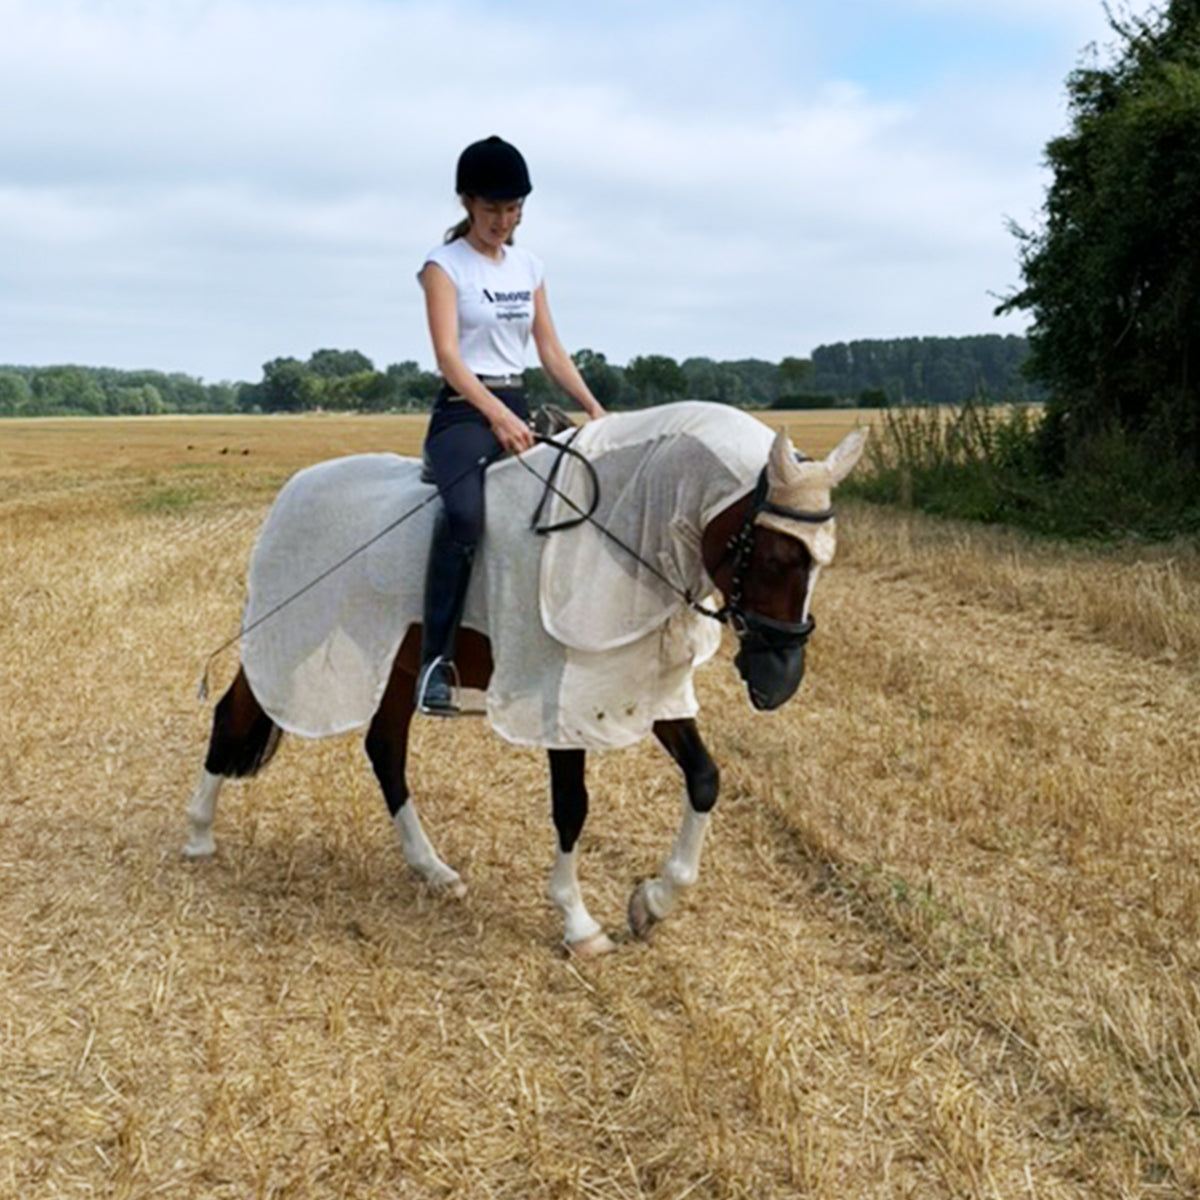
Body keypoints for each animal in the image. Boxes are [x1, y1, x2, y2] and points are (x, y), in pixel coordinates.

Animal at [184, 408, 864, 960]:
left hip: (398, 664)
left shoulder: (637, 683)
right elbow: (572, 806)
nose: (778, 680)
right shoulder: (558, 700)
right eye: (774, 557)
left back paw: (432, 869)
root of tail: (295, 490)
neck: (622, 527)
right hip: (290, 639)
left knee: (385, 749)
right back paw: (197, 836)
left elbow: (704, 779)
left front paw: (653, 901)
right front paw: (579, 924)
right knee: (233, 714)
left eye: (823, 560)